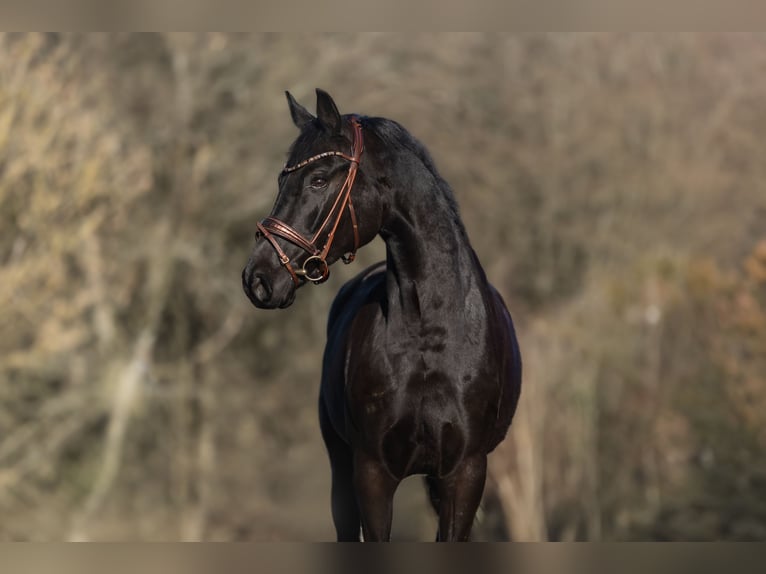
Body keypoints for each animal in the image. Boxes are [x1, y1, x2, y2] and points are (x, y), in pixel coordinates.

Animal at [242, 89, 522, 541]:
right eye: (282, 181)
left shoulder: (465, 473)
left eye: (318, 179)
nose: (258, 278)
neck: (431, 335)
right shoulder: (371, 472)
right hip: (340, 468)